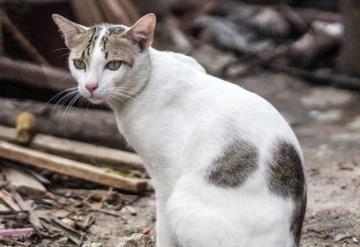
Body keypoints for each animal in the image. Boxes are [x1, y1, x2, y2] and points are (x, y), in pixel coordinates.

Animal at [52, 13, 306, 247]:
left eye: (113, 65)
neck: (147, 81)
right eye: (79, 64)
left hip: (182, 201)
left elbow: (164, 227)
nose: (90, 86)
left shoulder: (166, 176)